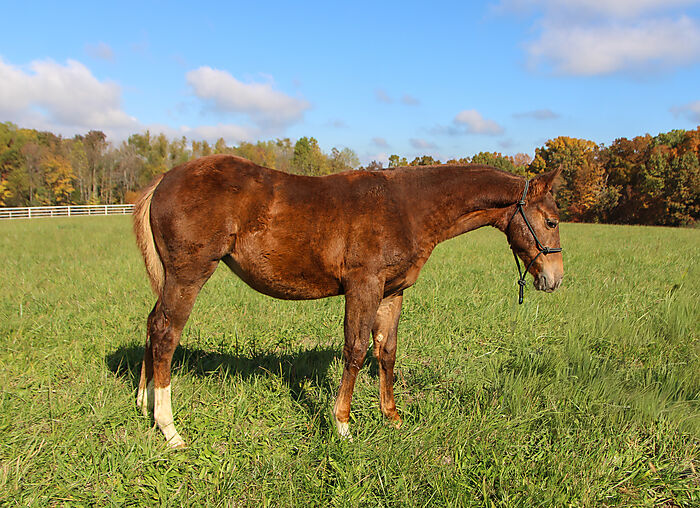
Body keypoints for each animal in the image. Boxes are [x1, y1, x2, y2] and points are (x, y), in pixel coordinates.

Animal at [132, 154, 563, 448]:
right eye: (552, 221)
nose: (554, 278)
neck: (408, 207)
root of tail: (164, 180)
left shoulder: (392, 291)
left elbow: (386, 350)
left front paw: (392, 417)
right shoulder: (364, 285)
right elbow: (355, 350)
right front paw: (342, 425)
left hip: (172, 278)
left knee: (153, 324)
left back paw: (144, 401)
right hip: (189, 274)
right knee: (167, 332)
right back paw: (169, 428)